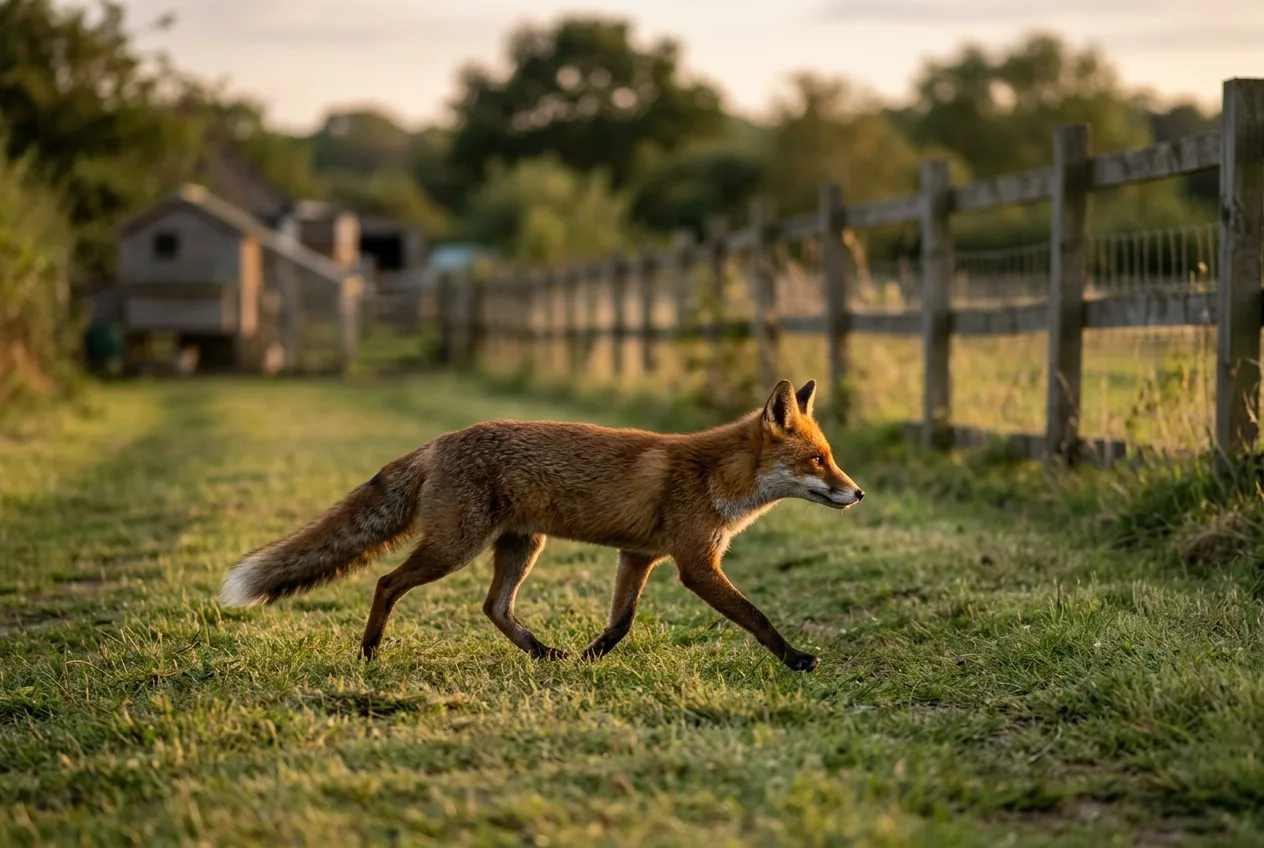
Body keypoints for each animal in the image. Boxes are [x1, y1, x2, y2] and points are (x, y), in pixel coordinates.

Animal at [218, 379, 864, 671]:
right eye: (818, 460)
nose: (857, 493)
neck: (715, 476)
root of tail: (436, 442)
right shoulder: (695, 564)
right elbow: (757, 617)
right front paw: (796, 659)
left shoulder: (639, 556)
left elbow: (620, 623)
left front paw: (589, 660)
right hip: (455, 547)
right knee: (386, 583)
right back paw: (371, 652)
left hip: (522, 546)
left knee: (494, 608)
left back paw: (544, 653)